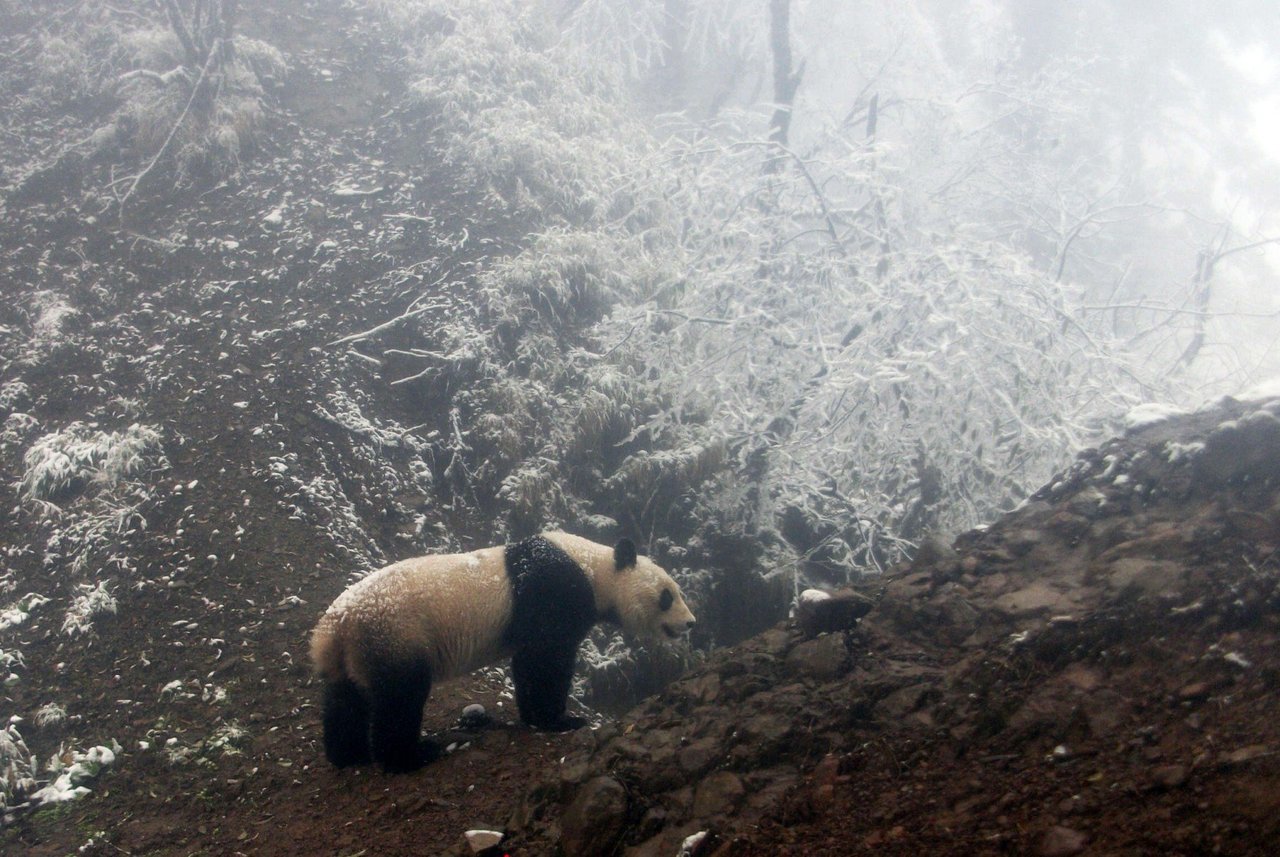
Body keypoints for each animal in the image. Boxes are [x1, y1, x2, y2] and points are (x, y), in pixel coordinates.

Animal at [305, 534, 696, 777]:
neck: (594, 567)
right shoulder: (552, 590)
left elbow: (531, 661)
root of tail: (334, 628)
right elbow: (543, 659)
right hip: (396, 633)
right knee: (399, 698)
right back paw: (411, 757)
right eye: (667, 595)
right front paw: (560, 720)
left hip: (357, 652)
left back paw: (348, 754)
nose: (690, 623)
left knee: (347, 699)